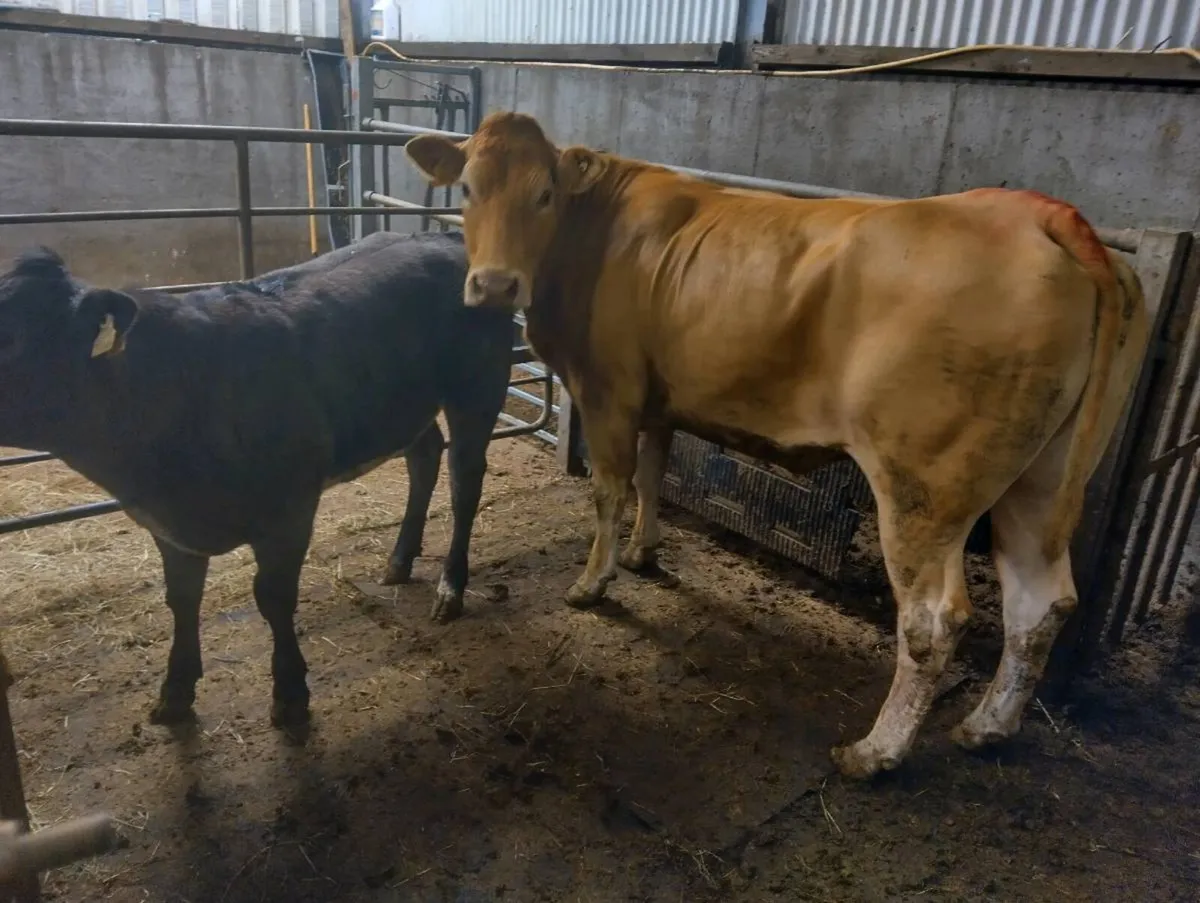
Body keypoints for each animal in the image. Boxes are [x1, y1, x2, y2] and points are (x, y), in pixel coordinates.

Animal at [0, 231, 514, 729]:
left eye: (14, 337)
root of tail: (441, 236)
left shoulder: (289, 510)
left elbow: (273, 597)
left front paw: (290, 696)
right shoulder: (167, 522)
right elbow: (181, 599)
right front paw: (175, 693)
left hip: (478, 387)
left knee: (465, 482)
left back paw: (450, 588)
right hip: (403, 404)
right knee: (424, 457)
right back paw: (399, 561)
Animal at [403, 111, 1150, 779]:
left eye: (545, 194)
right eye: (466, 189)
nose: (495, 284)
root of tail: (1041, 214)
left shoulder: (608, 389)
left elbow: (610, 488)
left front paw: (593, 582)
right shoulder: (658, 397)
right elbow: (653, 476)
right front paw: (644, 554)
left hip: (925, 485)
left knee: (934, 620)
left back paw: (874, 753)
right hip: (1043, 477)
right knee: (1042, 602)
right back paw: (987, 726)